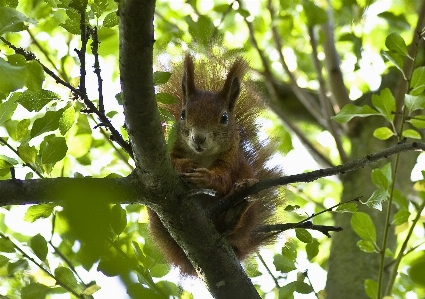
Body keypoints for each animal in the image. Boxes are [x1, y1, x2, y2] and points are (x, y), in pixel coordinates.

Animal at [146, 52, 282, 276]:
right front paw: (186, 166)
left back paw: (235, 211)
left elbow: (223, 180)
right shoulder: (168, 151)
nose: (199, 138)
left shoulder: (231, 160)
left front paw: (204, 177)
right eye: (183, 114)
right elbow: (174, 162)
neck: (203, 156)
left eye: (224, 118)